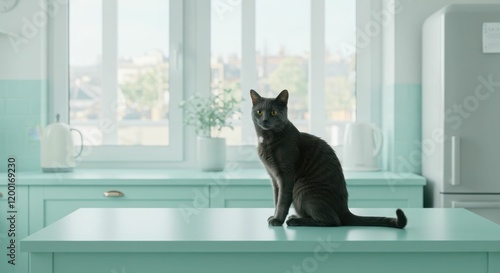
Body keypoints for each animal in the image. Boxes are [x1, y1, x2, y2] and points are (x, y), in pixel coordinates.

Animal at [250, 89, 406, 227]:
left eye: (273, 112)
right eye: (259, 112)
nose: (265, 120)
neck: (266, 140)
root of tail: (345, 210)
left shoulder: (286, 175)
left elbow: (282, 201)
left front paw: (277, 220)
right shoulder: (274, 178)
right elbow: (276, 199)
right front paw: (274, 216)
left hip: (302, 188)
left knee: (333, 221)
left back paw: (295, 221)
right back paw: (295, 217)